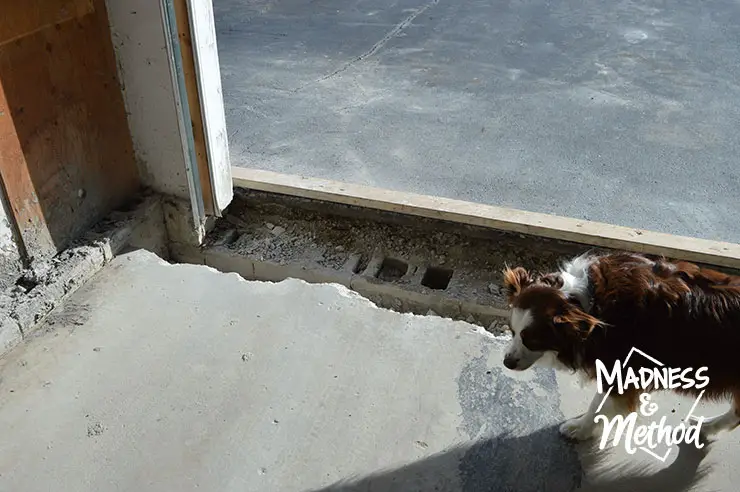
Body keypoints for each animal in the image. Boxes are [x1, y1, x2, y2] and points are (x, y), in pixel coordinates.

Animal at [502, 252, 740, 440]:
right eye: (512, 332)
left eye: (531, 340)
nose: (506, 363)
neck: (587, 303)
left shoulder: (621, 370)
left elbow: (598, 405)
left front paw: (579, 429)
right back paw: (707, 427)